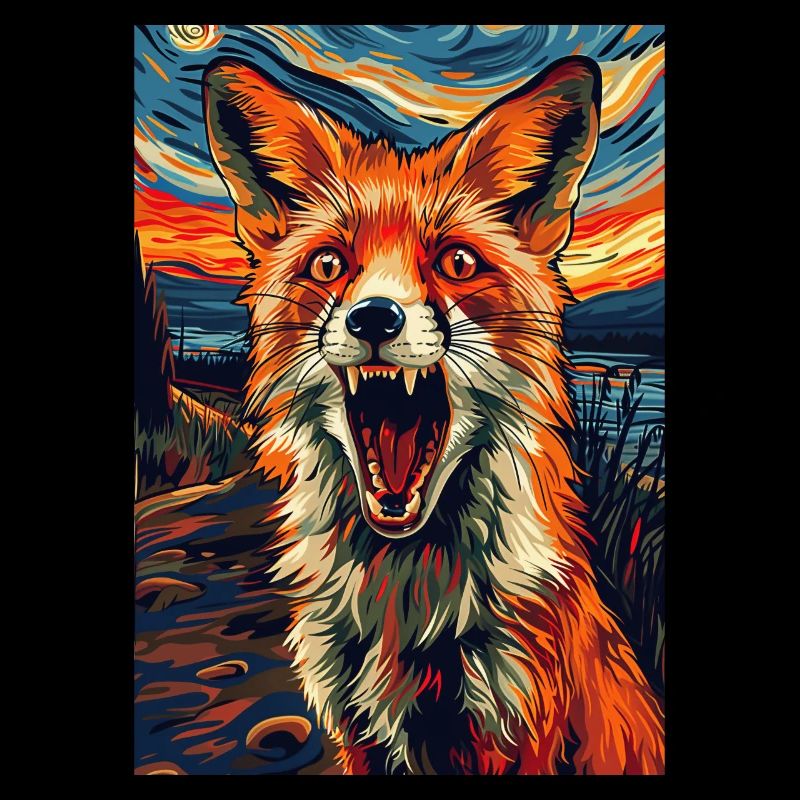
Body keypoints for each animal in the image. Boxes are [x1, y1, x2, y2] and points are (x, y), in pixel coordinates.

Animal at [202, 54, 665, 775]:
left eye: (457, 262)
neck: (406, 609)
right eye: (330, 264)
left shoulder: (515, 729)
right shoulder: (356, 728)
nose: (374, 318)